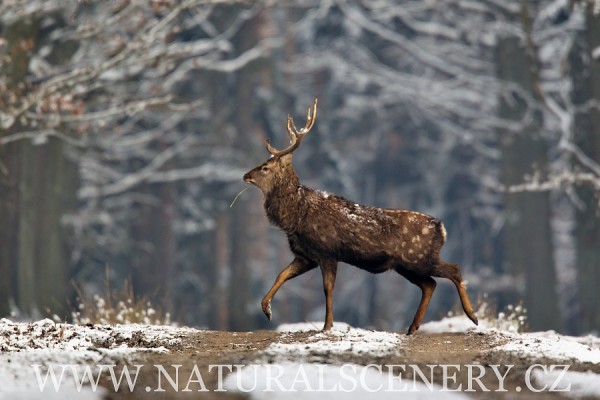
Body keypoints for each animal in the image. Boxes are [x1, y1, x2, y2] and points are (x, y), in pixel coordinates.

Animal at [241, 99, 480, 334]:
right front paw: (267, 310)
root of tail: (441, 228)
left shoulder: (327, 252)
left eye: (265, 167)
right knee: (430, 284)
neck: (297, 216)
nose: (245, 175)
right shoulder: (306, 255)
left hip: (418, 257)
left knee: (453, 270)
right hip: (405, 265)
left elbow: (327, 289)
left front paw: (327, 326)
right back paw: (412, 328)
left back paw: (473, 316)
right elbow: (281, 274)